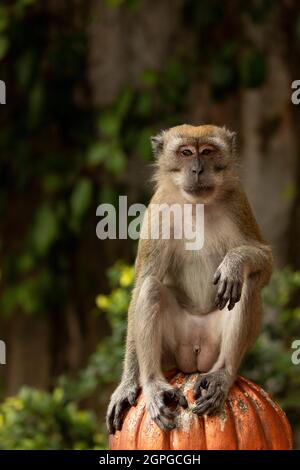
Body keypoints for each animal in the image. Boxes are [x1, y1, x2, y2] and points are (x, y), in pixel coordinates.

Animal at [105, 124, 272, 434]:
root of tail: (194, 360)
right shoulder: (158, 209)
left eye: (206, 151)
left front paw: (235, 263)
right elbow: (143, 282)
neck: (197, 204)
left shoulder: (238, 201)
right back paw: (154, 385)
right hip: (173, 349)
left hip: (213, 347)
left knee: (248, 285)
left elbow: (265, 264)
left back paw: (222, 374)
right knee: (151, 288)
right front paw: (127, 384)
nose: (197, 169)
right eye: (185, 152)